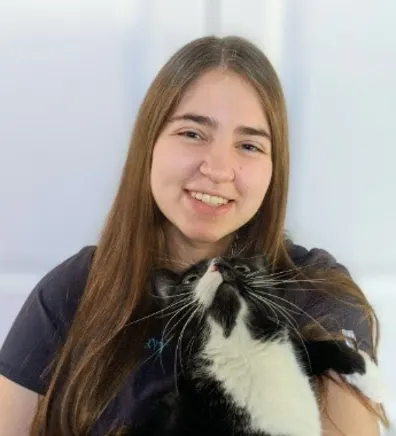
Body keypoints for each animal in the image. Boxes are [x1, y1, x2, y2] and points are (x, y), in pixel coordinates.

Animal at [129, 255, 384, 436]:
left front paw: (373, 380)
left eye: (242, 268)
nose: (219, 264)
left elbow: (320, 347)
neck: (241, 349)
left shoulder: (291, 349)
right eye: (190, 279)